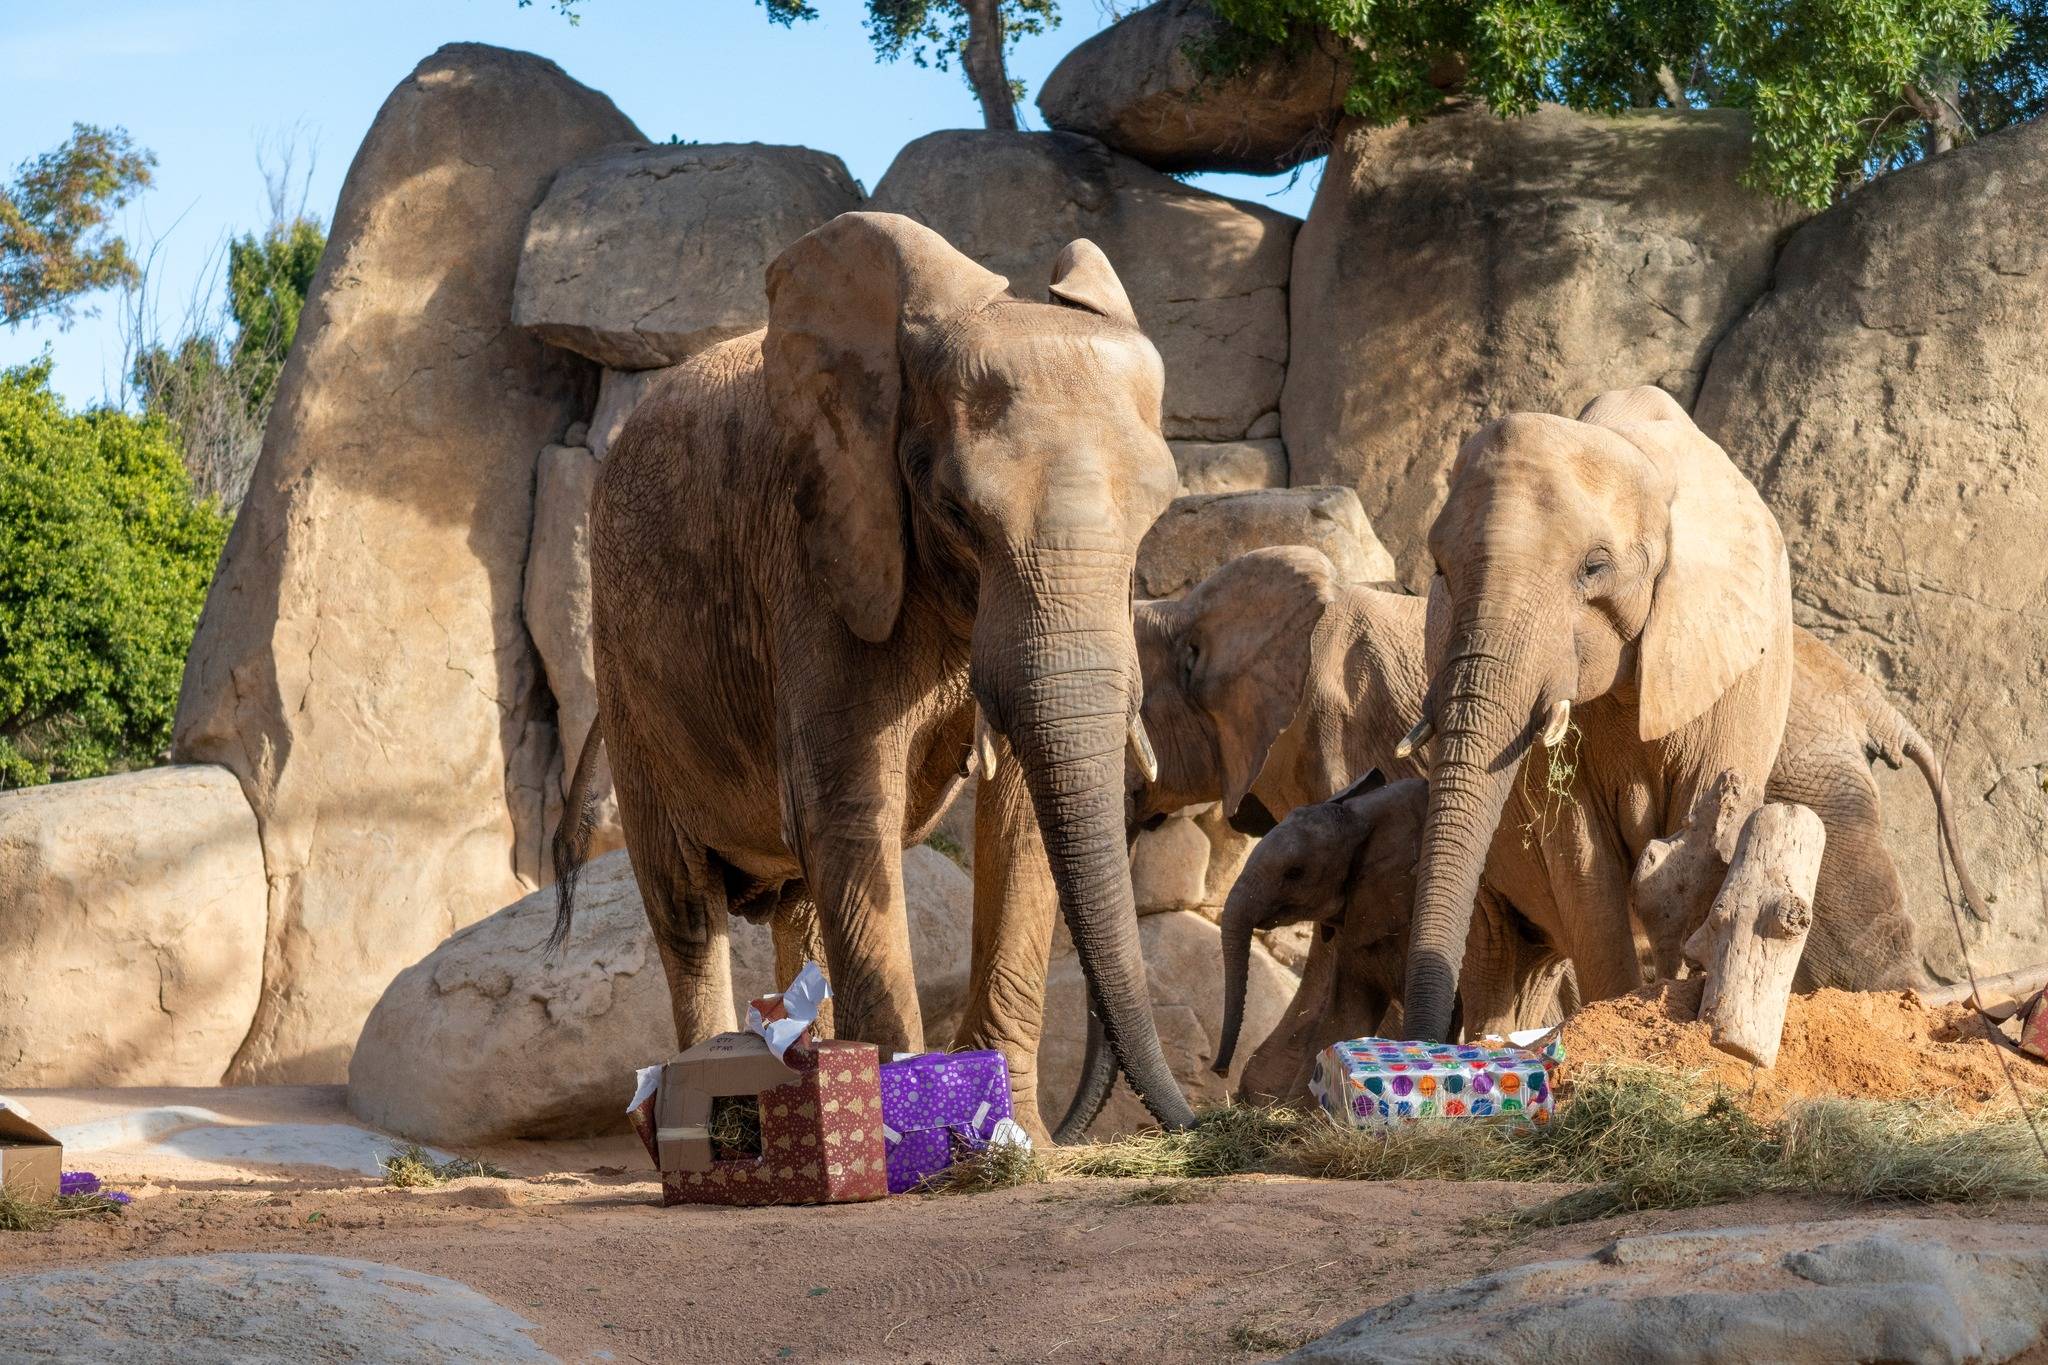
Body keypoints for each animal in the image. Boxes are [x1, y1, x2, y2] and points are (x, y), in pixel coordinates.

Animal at [557, 213, 1196, 1146]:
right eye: (957, 513)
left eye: (1157, 519)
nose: (1195, 1124)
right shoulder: (817, 552)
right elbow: (850, 806)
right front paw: (916, 1135)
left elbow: (1020, 821)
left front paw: (1016, 1139)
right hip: (626, 673)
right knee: (687, 907)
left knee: (802, 905)